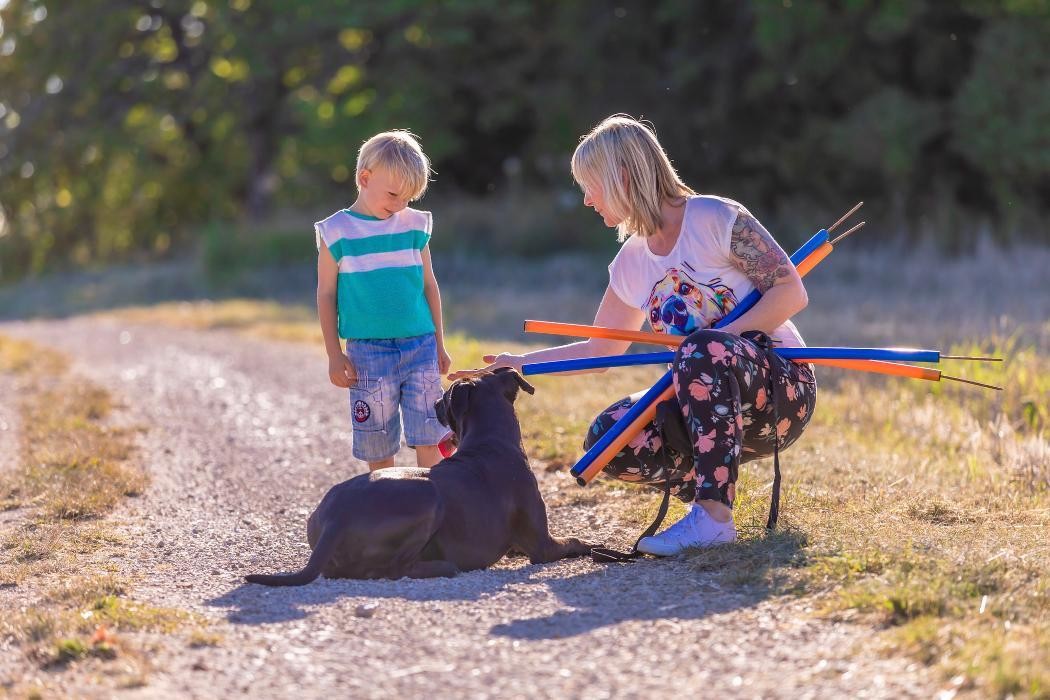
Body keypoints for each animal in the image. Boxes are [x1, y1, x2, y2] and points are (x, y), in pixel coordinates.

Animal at [241, 367, 596, 587]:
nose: (436, 401)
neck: (489, 441)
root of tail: (335, 520)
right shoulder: (542, 546)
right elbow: (575, 541)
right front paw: (593, 545)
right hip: (428, 499)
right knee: (393, 569)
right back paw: (442, 567)